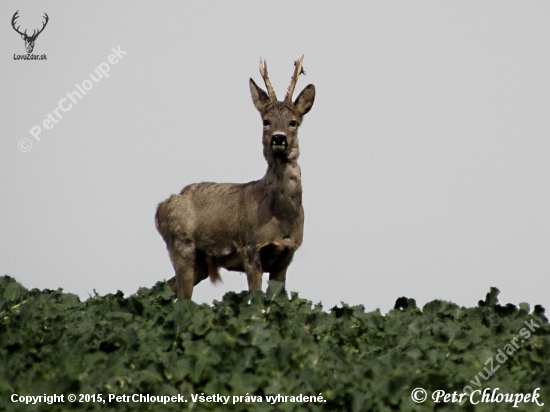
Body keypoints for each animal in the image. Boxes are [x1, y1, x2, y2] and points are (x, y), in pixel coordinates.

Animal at [157, 55, 316, 300]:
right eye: (266, 121)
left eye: (293, 121)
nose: (279, 138)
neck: (281, 219)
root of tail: (160, 208)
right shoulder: (250, 249)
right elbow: (257, 301)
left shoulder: (286, 256)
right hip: (181, 245)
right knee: (182, 299)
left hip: (200, 263)